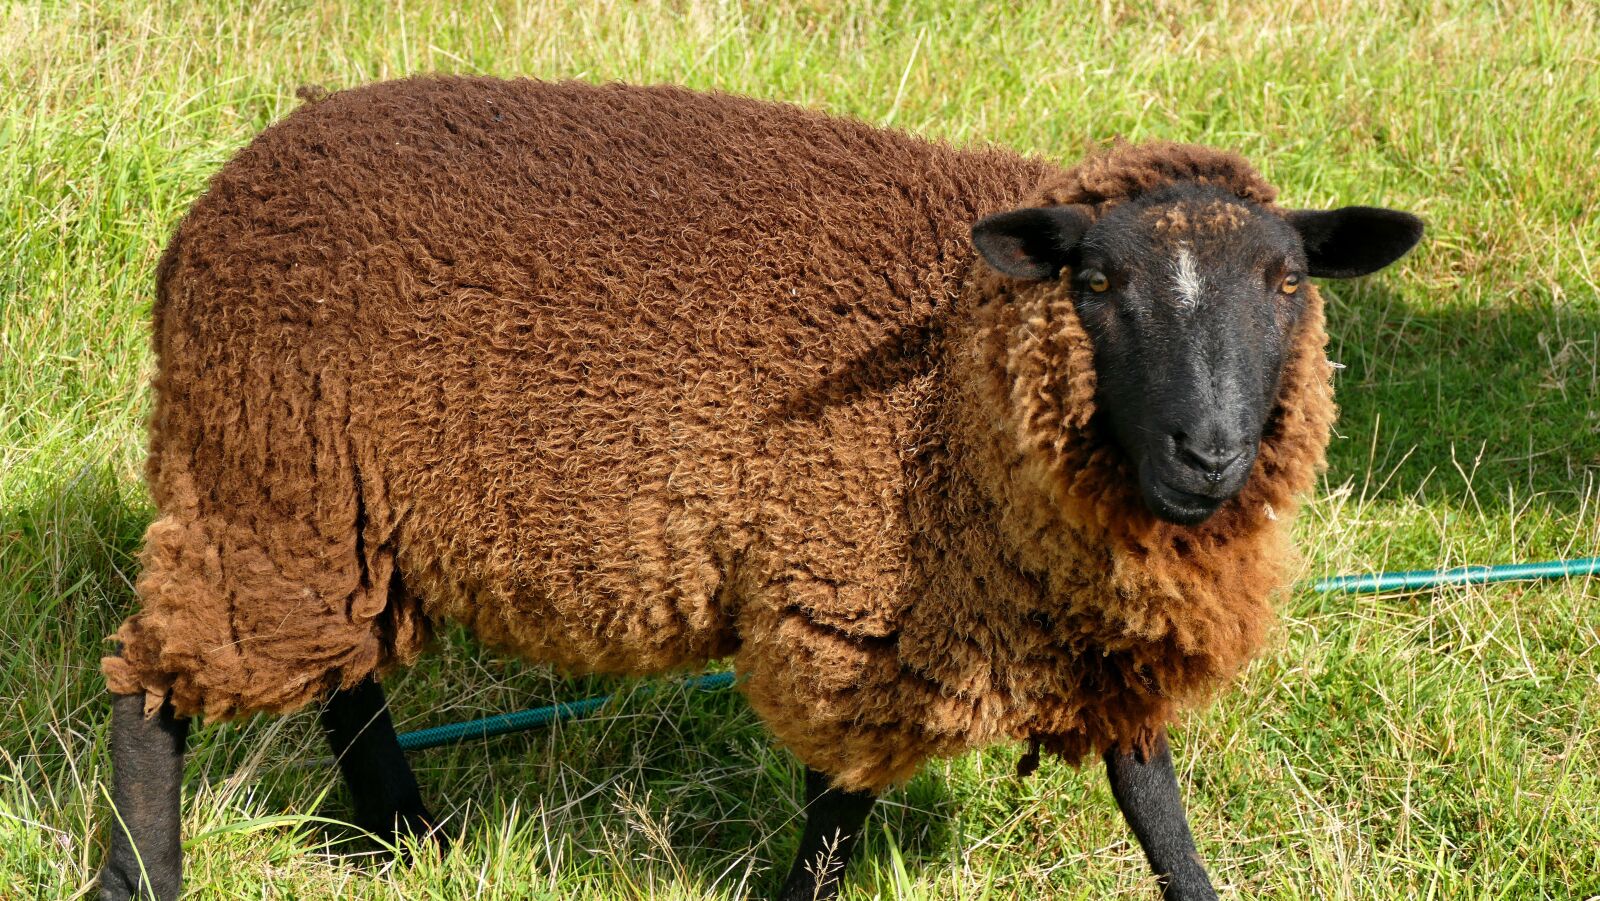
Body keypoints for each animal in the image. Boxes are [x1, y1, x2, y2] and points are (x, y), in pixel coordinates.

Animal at [98, 75, 1423, 901]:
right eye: (1095, 283)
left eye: (1288, 283)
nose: (1209, 452)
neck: (958, 369)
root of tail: (222, 193)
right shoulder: (853, 599)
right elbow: (838, 810)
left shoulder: (1076, 612)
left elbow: (1152, 798)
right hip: (262, 475)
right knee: (156, 690)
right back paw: (142, 874)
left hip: (327, 511)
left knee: (344, 675)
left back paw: (405, 837)